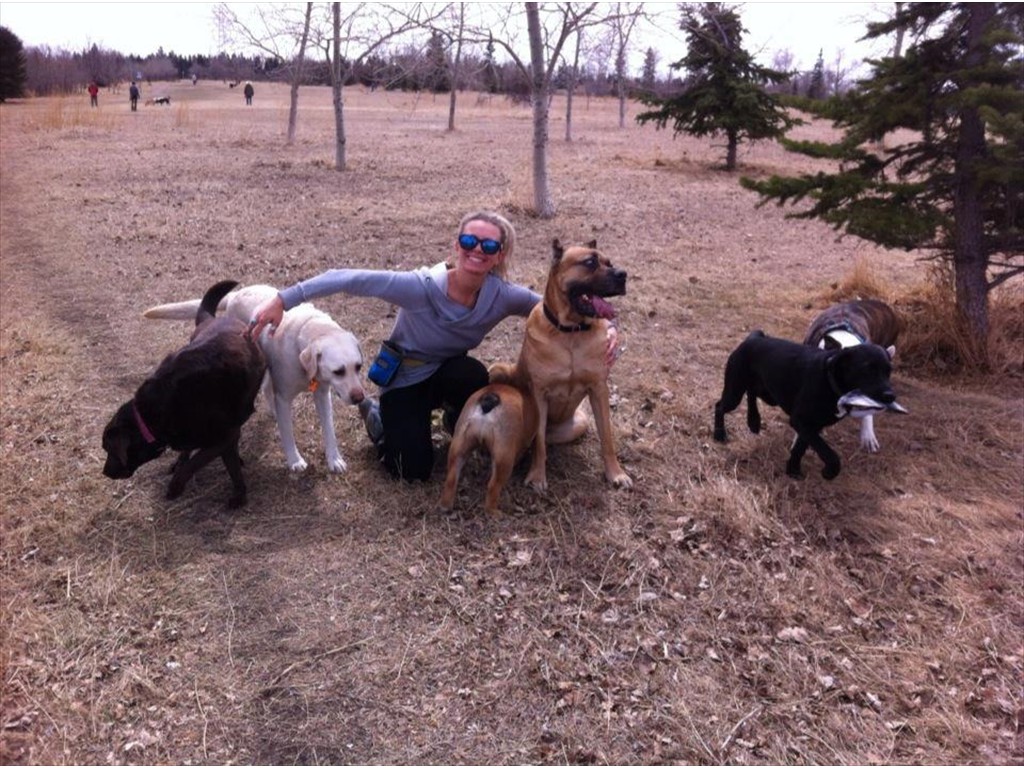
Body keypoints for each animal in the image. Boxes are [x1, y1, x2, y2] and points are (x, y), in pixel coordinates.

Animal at [100, 280, 264, 507]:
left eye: (109, 450)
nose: (105, 472)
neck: (152, 414)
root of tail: (211, 319)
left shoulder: (225, 435)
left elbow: (202, 462)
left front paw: (177, 487)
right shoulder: (218, 437)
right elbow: (207, 459)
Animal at [145, 286, 364, 473]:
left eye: (358, 367)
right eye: (338, 371)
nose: (360, 398)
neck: (310, 330)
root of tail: (236, 294)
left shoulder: (323, 395)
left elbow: (329, 430)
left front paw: (334, 459)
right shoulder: (284, 397)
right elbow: (288, 434)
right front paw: (294, 460)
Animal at [716, 331, 901, 481]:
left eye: (888, 371)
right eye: (866, 370)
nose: (890, 396)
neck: (829, 381)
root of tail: (754, 337)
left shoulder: (812, 426)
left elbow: (800, 448)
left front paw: (792, 470)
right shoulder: (801, 422)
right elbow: (828, 453)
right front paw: (829, 472)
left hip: (766, 392)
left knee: (751, 393)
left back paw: (753, 421)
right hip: (735, 392)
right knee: (720, 406)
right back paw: (719, 434)